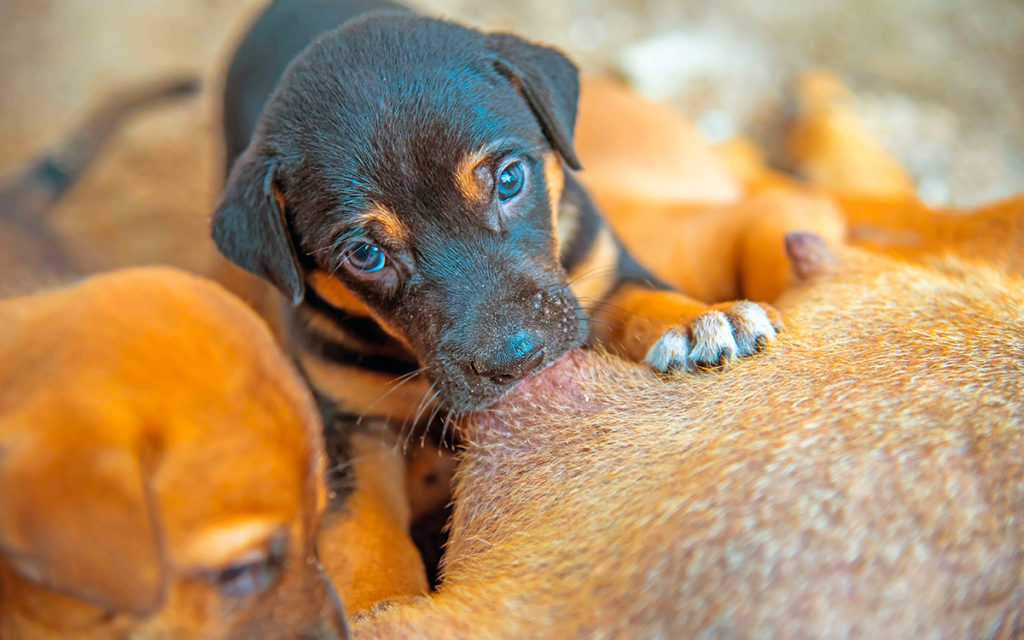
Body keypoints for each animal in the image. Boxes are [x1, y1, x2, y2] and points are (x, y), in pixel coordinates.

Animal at [216, 0, 774, 419]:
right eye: (364, 256)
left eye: (509, 180)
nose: (519, 361)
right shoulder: (354, 412)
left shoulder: (605, 270)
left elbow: (645, 297)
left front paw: (700, 321)